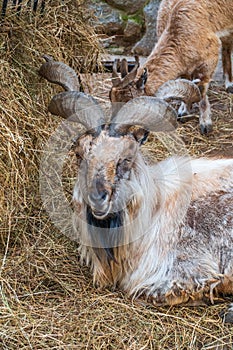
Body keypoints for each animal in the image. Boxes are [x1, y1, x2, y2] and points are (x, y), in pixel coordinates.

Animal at [110, 0, 233, 134]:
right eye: (111, 99)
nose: (114, 128)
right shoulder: (186, 68)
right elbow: (189, 83)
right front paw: (184, 112)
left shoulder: (208, 61)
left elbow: (201, 90)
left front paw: (205, 124)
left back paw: (229, 85)